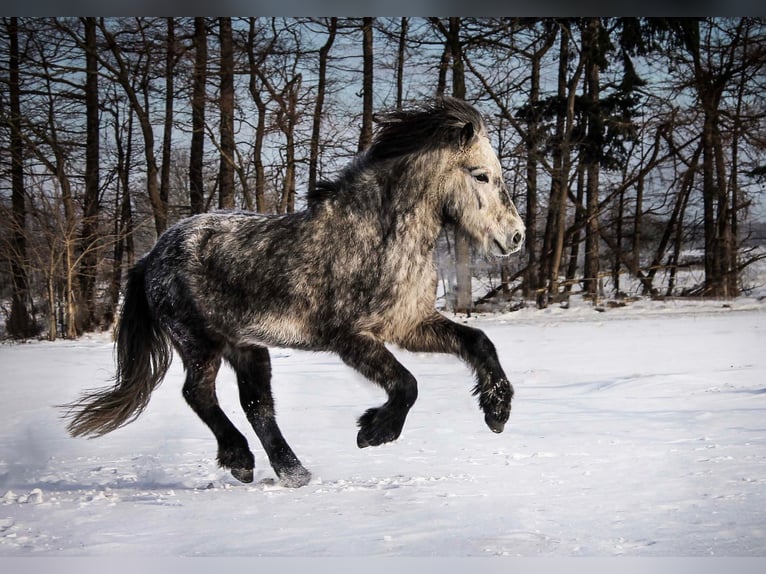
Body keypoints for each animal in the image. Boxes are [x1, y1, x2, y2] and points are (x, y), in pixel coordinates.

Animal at [63, 97, 526, 488]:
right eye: (481, 175)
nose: (516, 237)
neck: (378, 236)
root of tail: (151, 256)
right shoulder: (352, 338)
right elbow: (407, 384)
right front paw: (373, 432)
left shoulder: (408, 325)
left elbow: (479, 343)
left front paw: (498, 413)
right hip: (199, 343)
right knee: (199, 395)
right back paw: (242, 461)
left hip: (246, 347)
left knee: (256, 405)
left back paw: (293, 473)